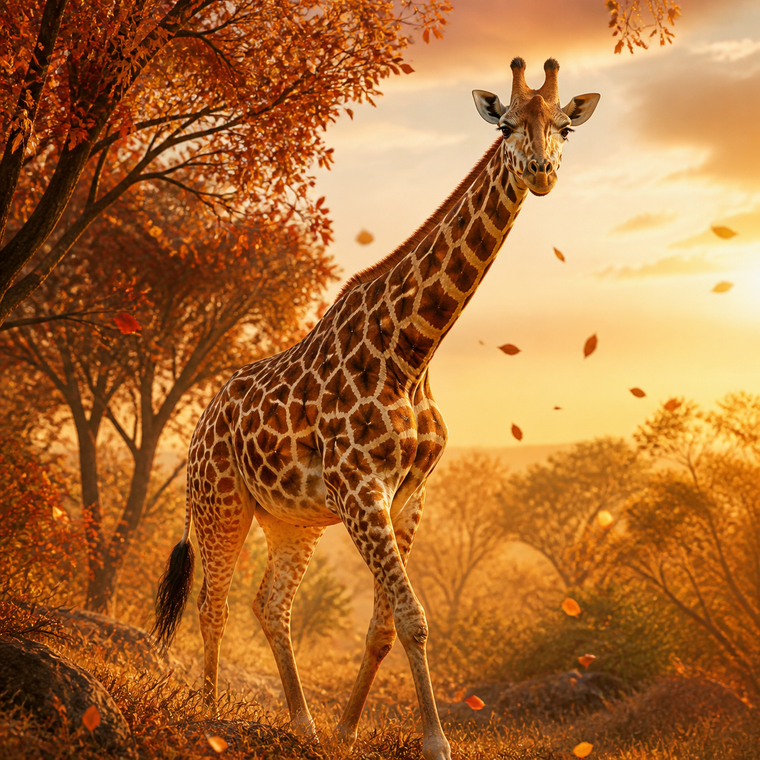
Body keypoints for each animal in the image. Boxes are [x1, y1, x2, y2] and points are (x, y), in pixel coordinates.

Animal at [153, 57, 599, 760]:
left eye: (565, 128)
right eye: (504, 125)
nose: (541, 172)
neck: (413, 351)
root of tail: (200, 421)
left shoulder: (408, 495)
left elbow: (386, 628)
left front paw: (345, 728)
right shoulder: (362, 488)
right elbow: (414, 619)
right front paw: (435, 742)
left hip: (293, 520)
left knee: (270, 604)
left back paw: (303, 724)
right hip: (220, 501)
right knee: (212, 601)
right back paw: (209, 712)